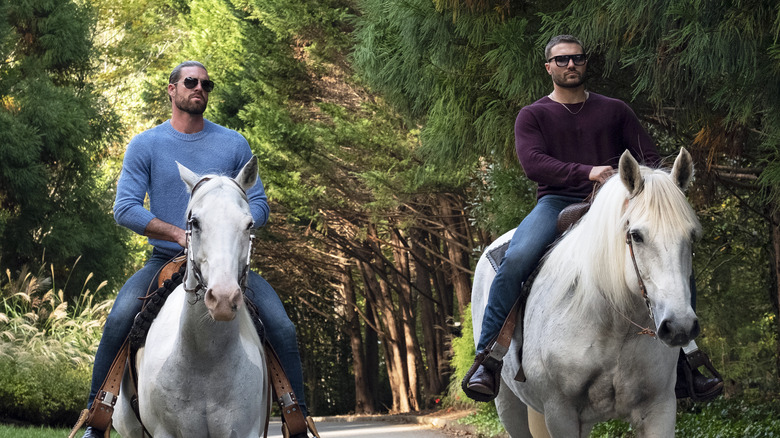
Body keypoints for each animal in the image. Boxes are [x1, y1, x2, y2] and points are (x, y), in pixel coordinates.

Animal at [112, 157, 270, 438]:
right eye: (194, 222)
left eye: (249, 224)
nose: (223, 298)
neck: (206, 359)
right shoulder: (165, 433)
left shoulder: (244, 432)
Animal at [472, 149, 704, 436]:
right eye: (636, 235)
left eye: (691, 236)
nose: (679, 327)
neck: (614, 325)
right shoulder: (560, 414)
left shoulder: (659, 407)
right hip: (508, 404)